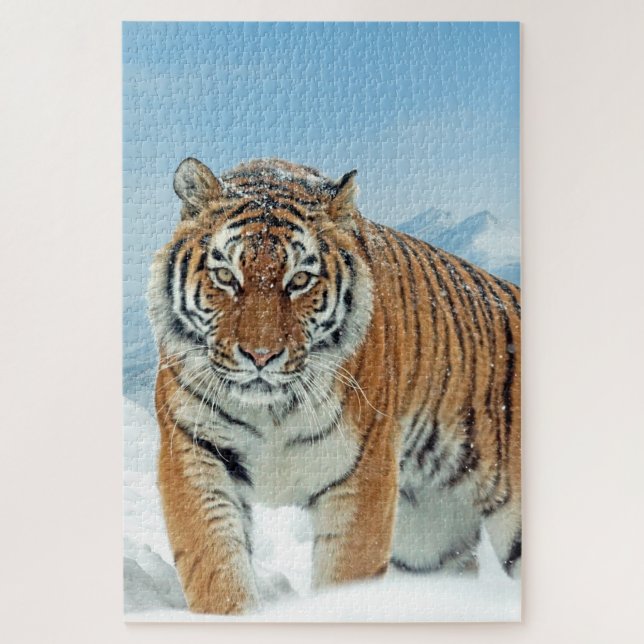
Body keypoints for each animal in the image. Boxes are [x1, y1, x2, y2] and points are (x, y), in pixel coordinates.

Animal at [148, 156, 521, 614]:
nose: (260, 355)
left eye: (299, 281)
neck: (271, 411)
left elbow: (346, 574)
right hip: (429, 539)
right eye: (225, 276)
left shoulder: (362, 473)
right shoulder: (194, 450)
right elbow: (215, 565)